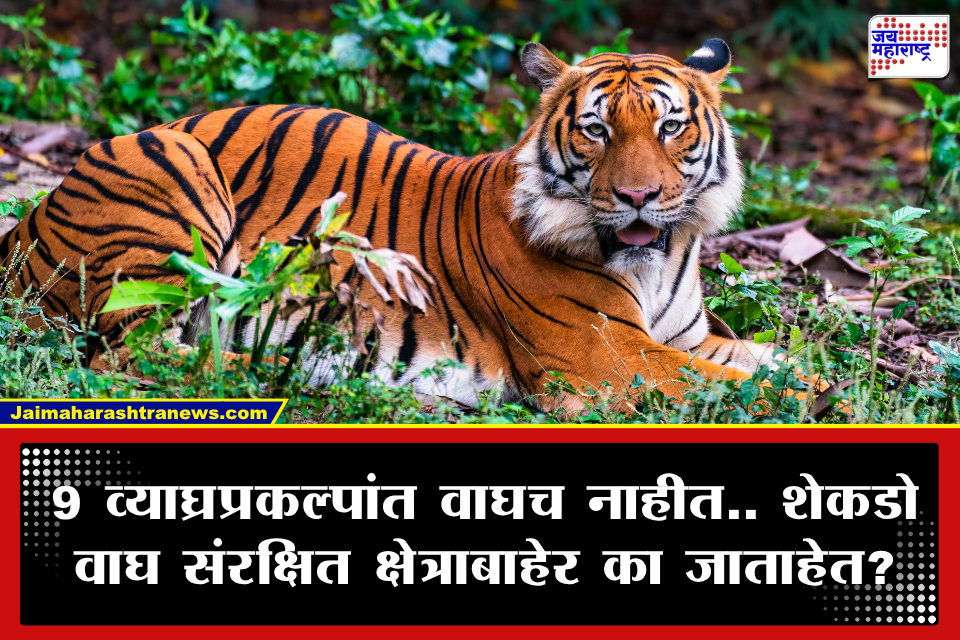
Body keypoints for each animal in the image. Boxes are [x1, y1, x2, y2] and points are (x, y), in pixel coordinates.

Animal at [0, 37, 779, 410]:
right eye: (596, 130)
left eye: (670, 126)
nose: (639, 196)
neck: (658, 258)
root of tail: (28, 219)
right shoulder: (610, 358)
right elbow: (750, 386)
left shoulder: (685, 339)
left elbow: (769, 361)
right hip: (173, 171)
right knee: (141, 360)